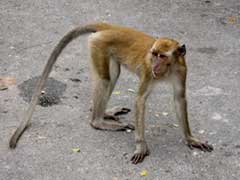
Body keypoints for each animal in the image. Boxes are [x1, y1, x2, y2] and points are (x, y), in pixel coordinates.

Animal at [8, 22, 213, 165]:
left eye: (162, 56)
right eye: (154, 55)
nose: (155, 65)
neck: (167, 70)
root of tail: (111, 27)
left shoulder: (181, 70)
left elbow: (179, 99)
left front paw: (190, 139)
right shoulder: (149, 73)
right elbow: (140, 100)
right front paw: (141, 146)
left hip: (104, 49)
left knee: (112, 76)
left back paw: (105, 113)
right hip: (97, 44)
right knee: (105, 80)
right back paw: (98, 121)